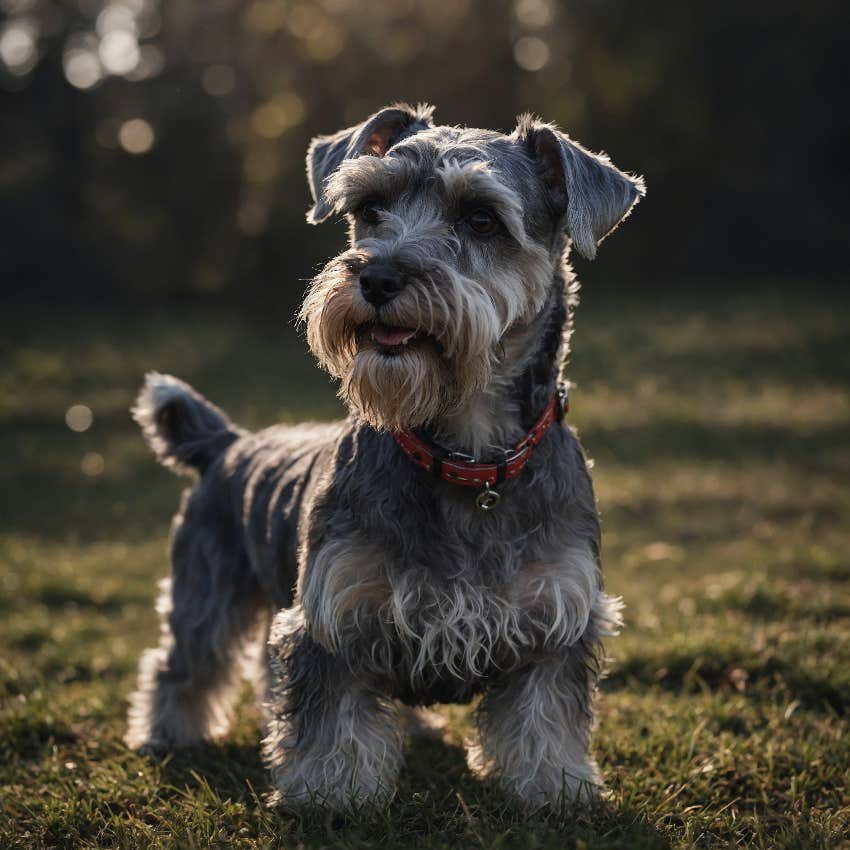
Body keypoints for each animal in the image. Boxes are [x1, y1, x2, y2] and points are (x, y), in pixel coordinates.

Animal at [126, 102, 644, 804]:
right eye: (370, 208)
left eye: (481, 218)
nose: (375, 276)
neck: (467, 460)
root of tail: (227, 443)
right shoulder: (331, 615)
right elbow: (332, 716)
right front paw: (329, 793)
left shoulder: (556, 618)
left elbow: (546, 716)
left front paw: (555, 786)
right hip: (206, 591)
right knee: (182, 664)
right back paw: (166, 734)